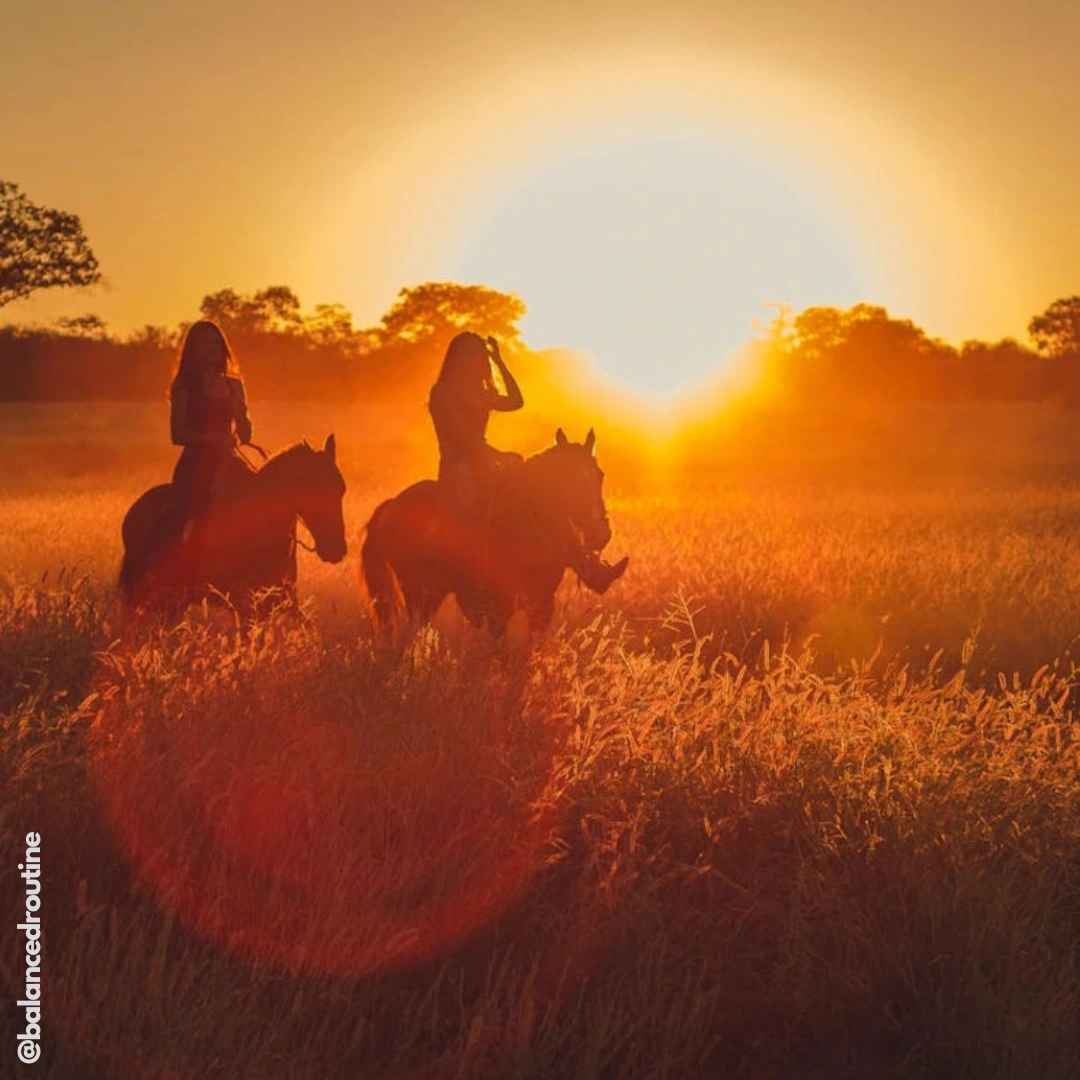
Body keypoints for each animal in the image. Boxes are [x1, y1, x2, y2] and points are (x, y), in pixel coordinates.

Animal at [360, 427, 617, 635]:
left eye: (600, 475)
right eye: (566, 479)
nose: (599, 534)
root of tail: (391, 505)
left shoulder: (542, 606)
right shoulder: (499, 607)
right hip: (419, 592)